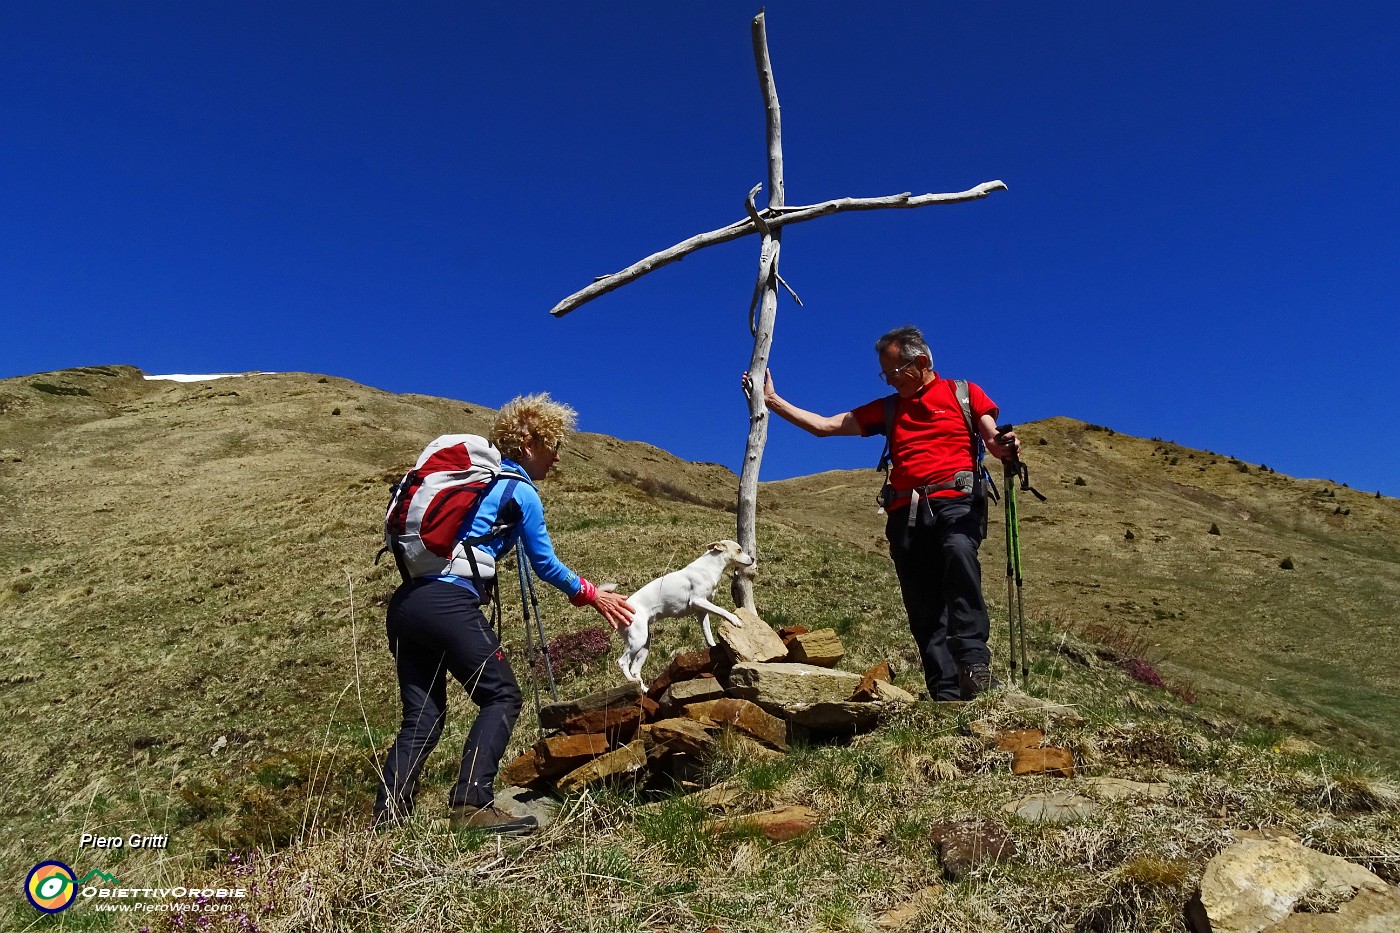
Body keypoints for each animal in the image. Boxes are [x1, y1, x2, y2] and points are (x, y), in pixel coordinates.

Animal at [616, 535, 756, 680]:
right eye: (739, 550)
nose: (753, 559)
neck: (709, 566)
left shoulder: (702, 611)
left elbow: (708, 634)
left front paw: (712, 647)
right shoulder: (697, 601)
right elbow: (722, 611)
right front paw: (735, 620)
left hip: (644, 644)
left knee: (635, 669)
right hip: (638, 640)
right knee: (622, 661)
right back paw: (631, 680)